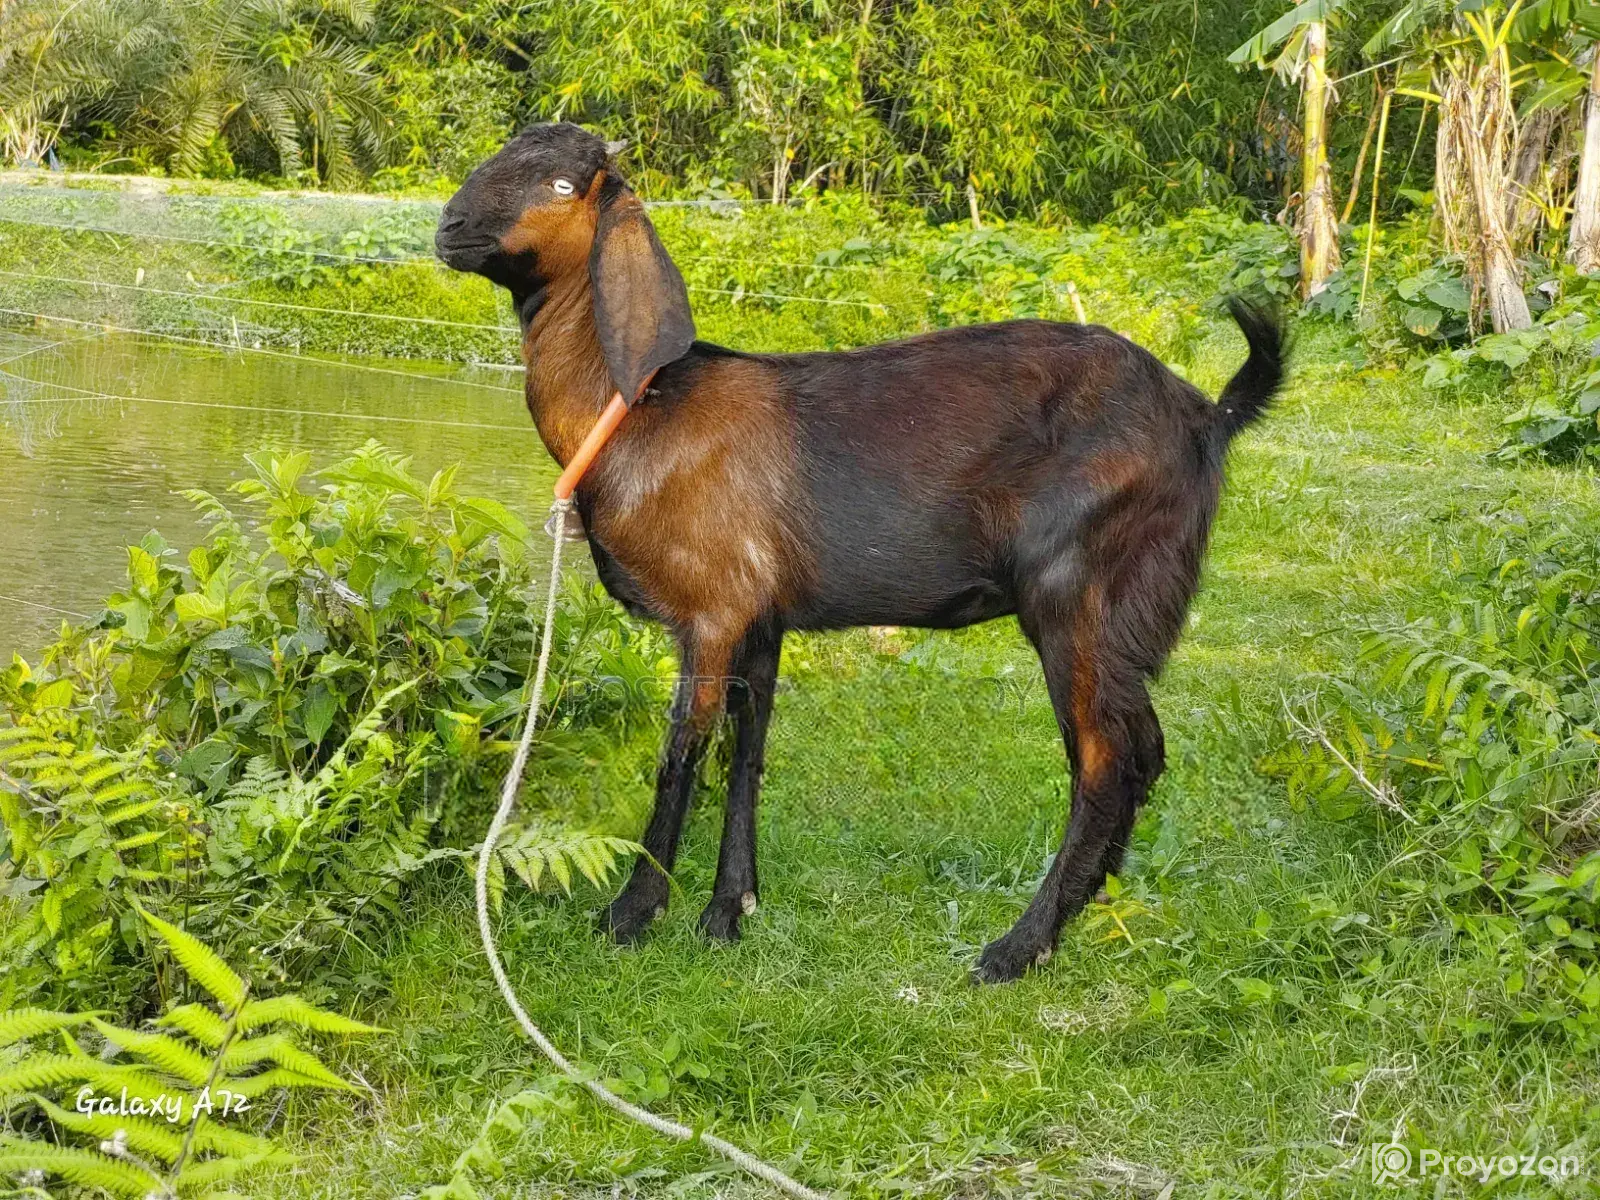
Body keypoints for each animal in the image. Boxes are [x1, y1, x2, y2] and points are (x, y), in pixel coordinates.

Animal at [436, 123, 1285, 983]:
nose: (449, 227)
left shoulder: (710, 611)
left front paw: (632, 914)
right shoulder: (761, 616)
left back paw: (1018, 946)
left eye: (563, 186)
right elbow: (748, 754)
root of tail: (1207, 417)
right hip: (1124, 614)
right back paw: (1084, 911)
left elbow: (682, 755)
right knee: (1143, 751)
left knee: (1106, 762)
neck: (638, 415)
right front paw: (730, 910)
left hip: (1079, 591)